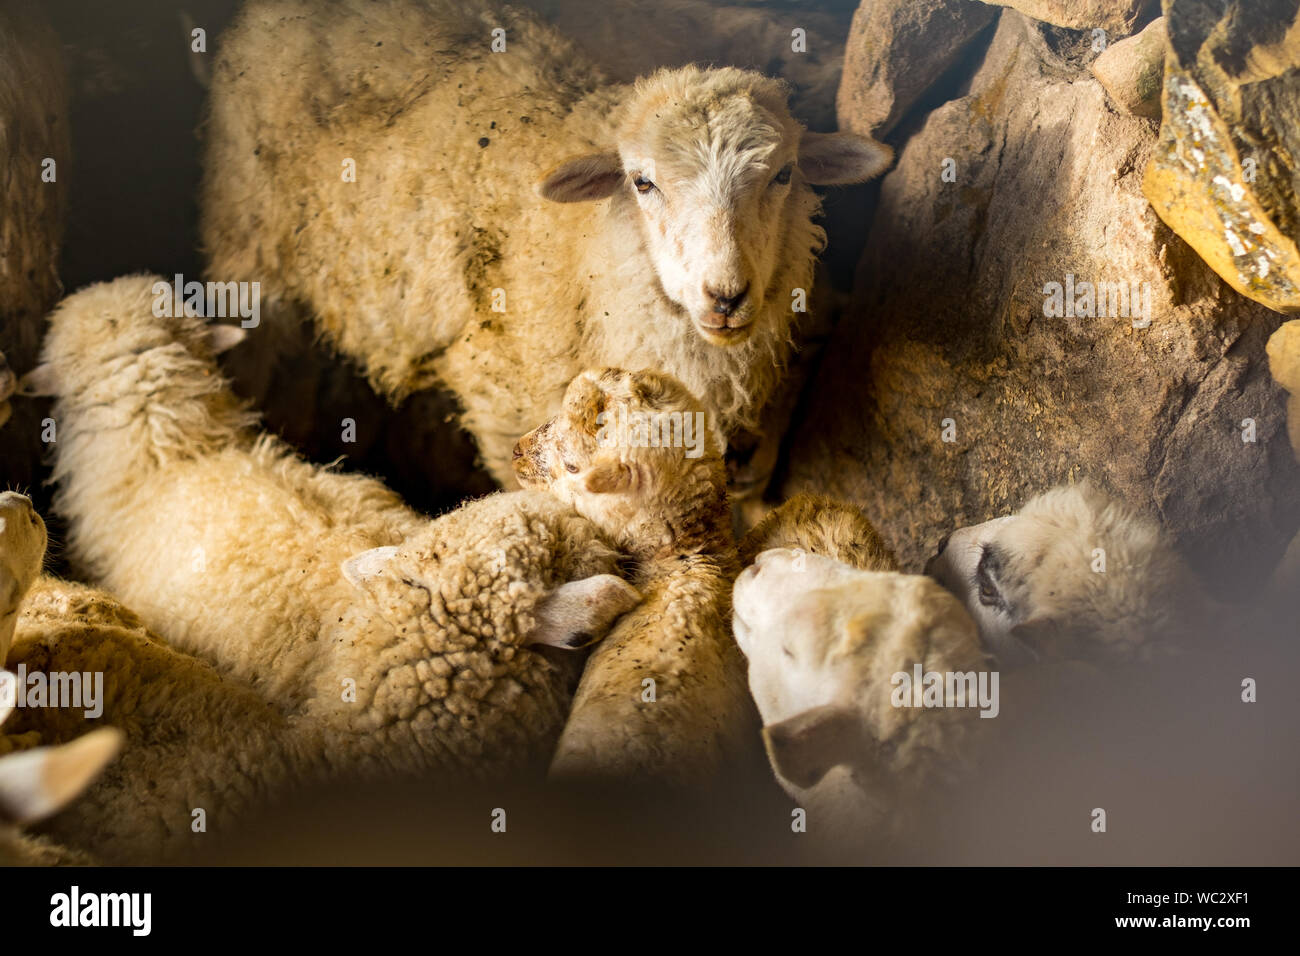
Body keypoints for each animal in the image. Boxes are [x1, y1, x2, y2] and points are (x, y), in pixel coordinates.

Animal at [200, 0, 894, 489]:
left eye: (783, 175)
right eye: (642, 182)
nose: (725, 296)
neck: (582, 257)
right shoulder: (497, 403)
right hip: (249, 242)